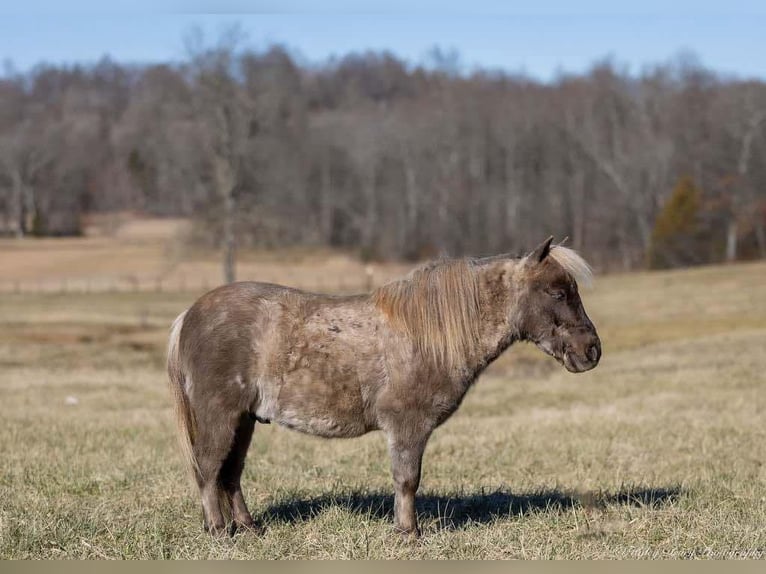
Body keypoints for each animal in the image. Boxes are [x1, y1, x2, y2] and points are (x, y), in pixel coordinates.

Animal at [166, 236, 600, 536]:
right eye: (558, 292)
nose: (591, 350)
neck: (429, 335)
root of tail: (189, 314)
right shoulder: (408, 427)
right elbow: (407, 479)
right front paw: (408, 532)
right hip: (220, 417)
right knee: (208, 469)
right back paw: (219, 531)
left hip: (244, 420)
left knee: (230, 473)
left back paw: (250, 527)